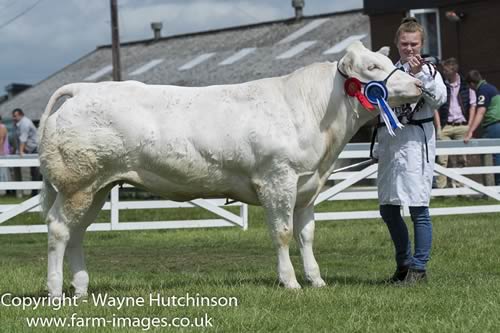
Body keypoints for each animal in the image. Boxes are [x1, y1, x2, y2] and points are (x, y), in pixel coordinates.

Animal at [40, 42, 422, 296]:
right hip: (77, 183)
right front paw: (290, 282)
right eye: (372, 68)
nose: (419, 84)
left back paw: (81, 287)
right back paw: (56, 290)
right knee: (59, 229)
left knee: (77, 233)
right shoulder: (278, 180)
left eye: (388, 60)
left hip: (97, 187)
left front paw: (316, 279)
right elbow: (283, 233)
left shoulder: (308, 186)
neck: (315, 115)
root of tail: (82, 90)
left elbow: (307, 235)